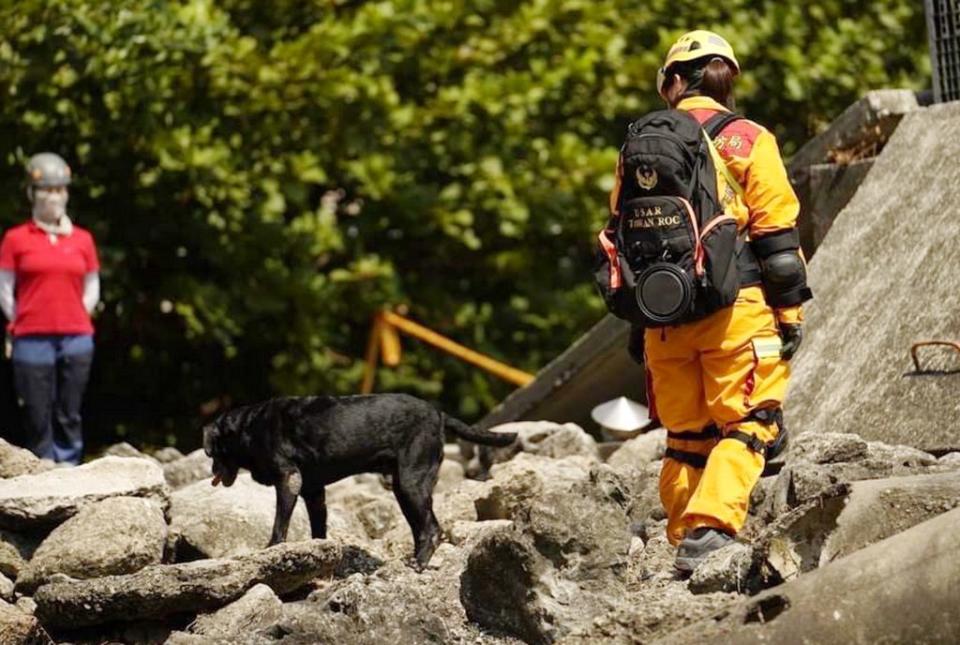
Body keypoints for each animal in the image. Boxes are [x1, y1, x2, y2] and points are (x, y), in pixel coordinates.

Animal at [203, 390, 516, 568]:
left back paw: (418, 564)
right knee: (422, 528)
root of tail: (439, 414)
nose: (211, 471)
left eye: (212, 451)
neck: (249, 427)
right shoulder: (313, 490)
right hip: (404, 488)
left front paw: (271, 548)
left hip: (410, 483)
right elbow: (319, 528)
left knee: (431, 529)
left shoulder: (289, 479)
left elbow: (280, 524)